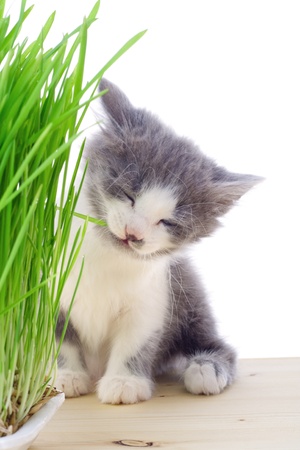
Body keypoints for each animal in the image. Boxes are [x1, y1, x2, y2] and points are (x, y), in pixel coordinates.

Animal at [55, 78, 260, 404]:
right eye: (128, 193)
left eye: (168, 222)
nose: (133, 234)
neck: (106, 259)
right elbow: (59, 337)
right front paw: (66, 376)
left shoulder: (152, 300)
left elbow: (135, 341)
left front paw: (124, 382)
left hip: (189, 293)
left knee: (216, 343)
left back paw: (207, 368)